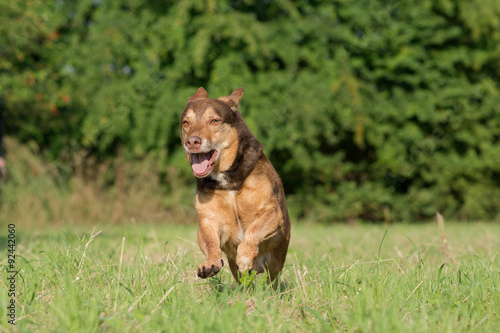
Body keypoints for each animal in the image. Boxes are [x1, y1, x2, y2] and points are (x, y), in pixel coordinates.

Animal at [180, 87, 292, 282]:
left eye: (214, 121)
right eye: (186, 122)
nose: (192, 142)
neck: (227, 181)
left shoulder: (272, 212)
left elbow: (254, 229)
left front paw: (245, 256)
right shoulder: (208, 220)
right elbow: (210, 243)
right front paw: (210, 263)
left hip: (276, 260)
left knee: (273, 279)